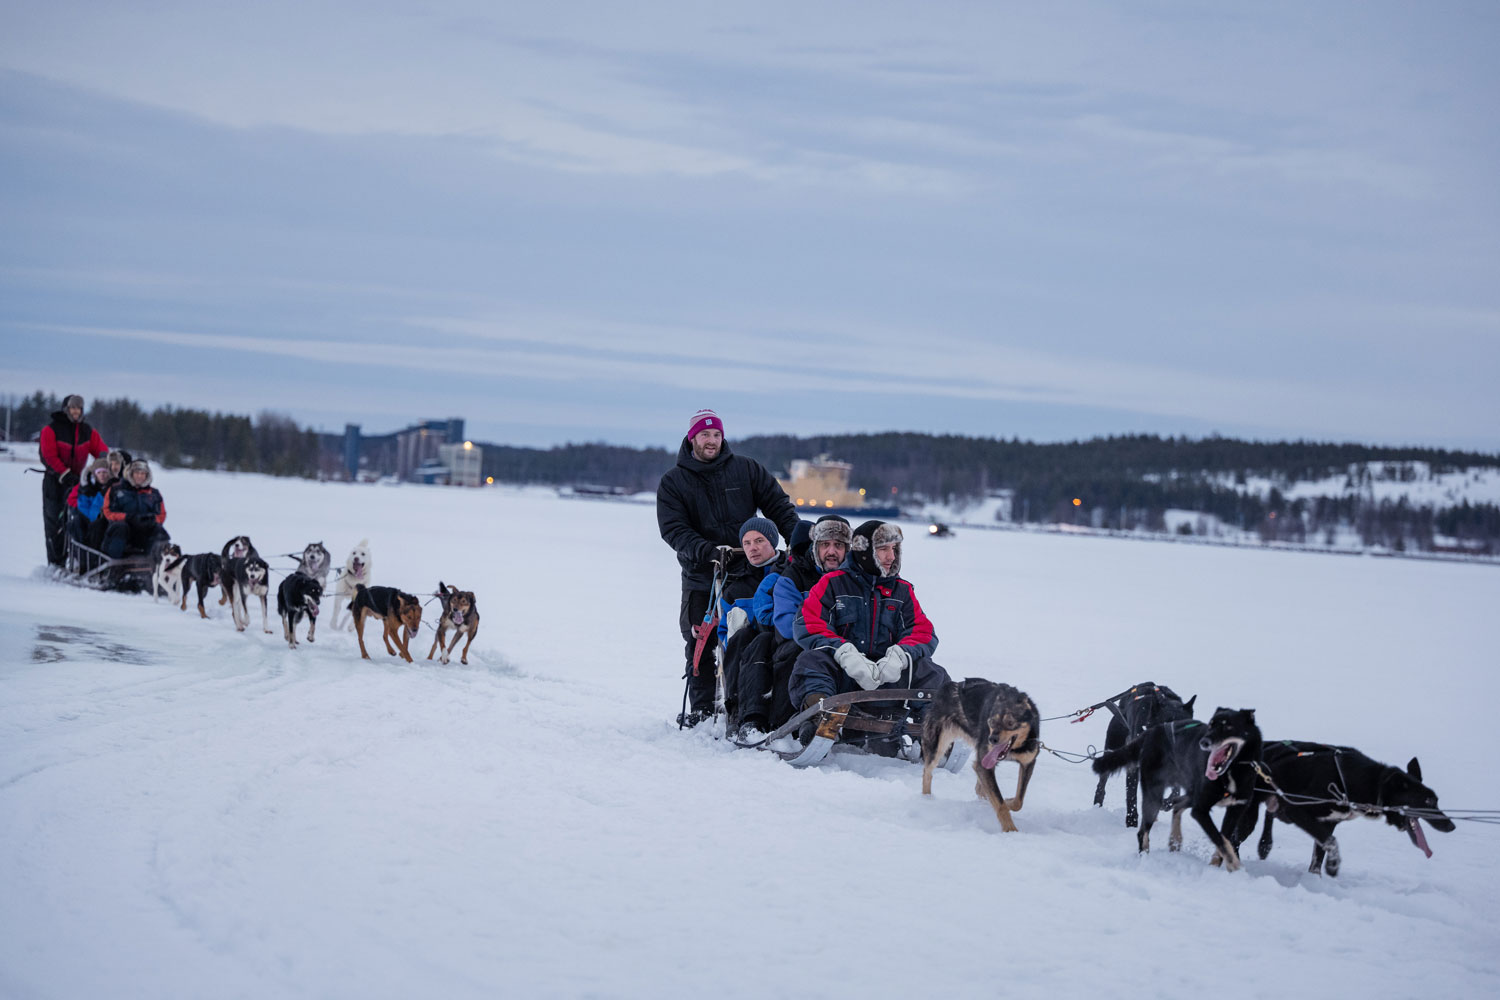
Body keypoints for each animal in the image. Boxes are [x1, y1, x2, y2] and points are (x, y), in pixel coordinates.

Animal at [918, 680, 1038, 839]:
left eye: (1010, 723)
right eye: (991, 722)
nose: (992, 739)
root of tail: (949, 685)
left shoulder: (1028, 762)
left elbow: (1018, 801)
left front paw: (1008, 802)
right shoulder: (984, 764)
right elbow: (1000, 803)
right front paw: (1010, 831)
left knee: (980, 787)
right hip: (937, 746)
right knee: (927, 772)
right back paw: (926, 799)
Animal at [1092, 680, 1194, 827]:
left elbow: (1175, 792)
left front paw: (1165, 803)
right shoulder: (1134, 766)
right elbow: (1131, 795)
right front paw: (1131, 823)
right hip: (1112, 748)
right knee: (1102, 782)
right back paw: (1097, 804)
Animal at [1098, 707, 1260, 869]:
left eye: (1229, 727)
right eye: (1211, 725)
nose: (1204, 742)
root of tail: (1151, 732)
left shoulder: (1235, 809)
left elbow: (1223, 840)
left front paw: (1218, 865)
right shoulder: (1200, 809)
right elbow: (1220, 839)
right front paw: (1234, 866)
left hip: (1189, 793)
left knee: (1176, 804)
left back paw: (1174, 840)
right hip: (1155, 795)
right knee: (1143, 831)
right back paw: (1146, 858)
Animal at [1242, 740, 1452, 881]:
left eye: (1436, 800)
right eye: (1428, 800)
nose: (1452, 825)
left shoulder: (1327, 824)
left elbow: (1319, 856)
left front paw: (1315, 881)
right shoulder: (1296, 810)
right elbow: (1332, 842)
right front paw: (1333, 866)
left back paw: (1264, 846)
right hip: (1251, 814)